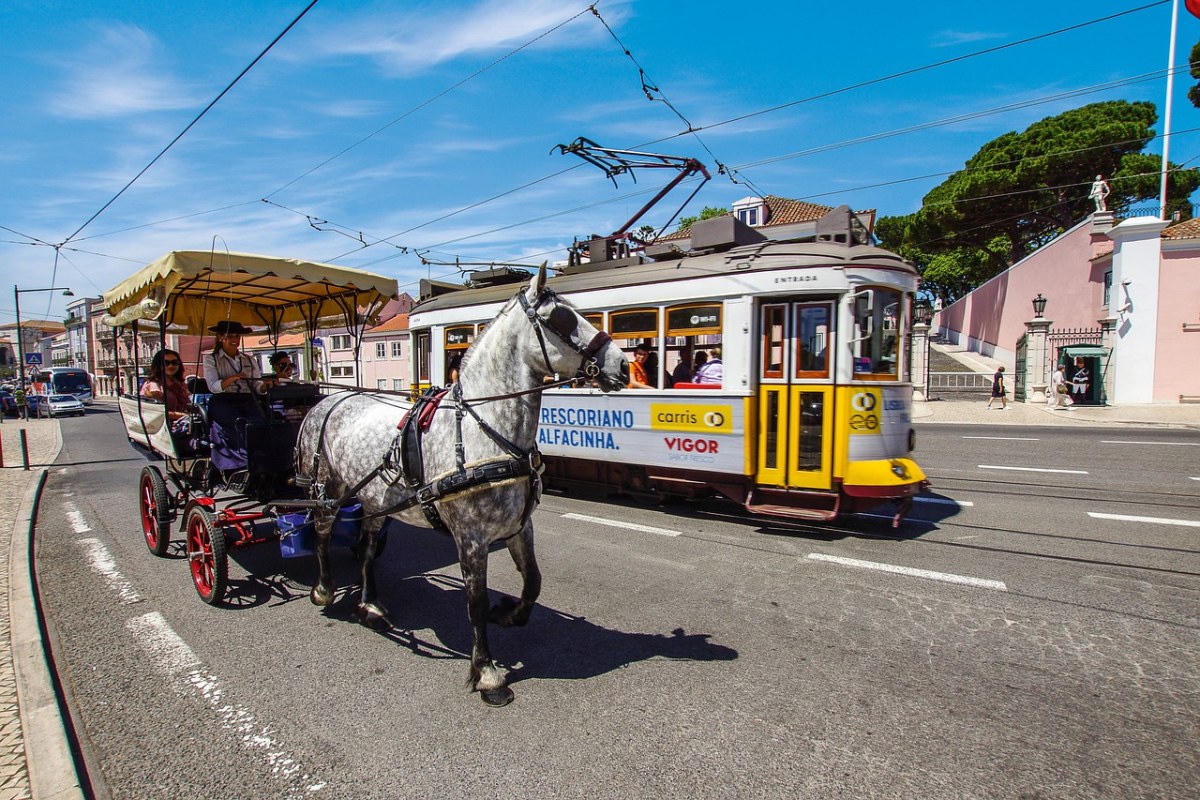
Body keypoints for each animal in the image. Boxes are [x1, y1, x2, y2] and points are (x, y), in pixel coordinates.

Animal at [295, 266, 628, 705]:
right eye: (563, 319)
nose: (624, 364)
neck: (484, 430)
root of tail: (326, 400)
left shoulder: (519, 526)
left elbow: (533, 581)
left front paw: (510, 614)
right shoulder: (471, 538)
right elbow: (475, 601)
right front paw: (486, 673)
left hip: (374, 501)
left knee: (366, 550)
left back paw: (370, 605)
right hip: (327, 491)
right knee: (320, 534)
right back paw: (323, 589)